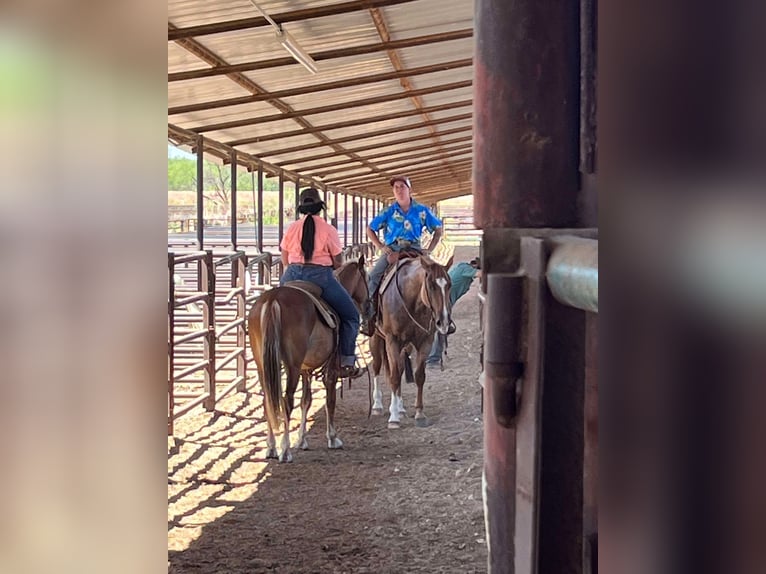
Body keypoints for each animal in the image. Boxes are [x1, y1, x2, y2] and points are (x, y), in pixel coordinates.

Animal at [250, 258, 370, 466]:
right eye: (367, 278)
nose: (370, 307)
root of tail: (273, 300)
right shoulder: (330, 370)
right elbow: (330, 401)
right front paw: (332, 438)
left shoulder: (305, 369)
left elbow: (306, 401)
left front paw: (302, 439)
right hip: (292, 366)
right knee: (286, 400)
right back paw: (285, 451)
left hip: (263, 365)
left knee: (268, 401)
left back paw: (271, 448)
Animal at [370, 258, 452, 430]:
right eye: (431, 286)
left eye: (449, 285)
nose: (443, 322)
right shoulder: (392, 340)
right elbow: (394, 376)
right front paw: (393, 418)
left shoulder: (425, 341)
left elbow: (419, 375)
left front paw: (419, 414)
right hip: (375, 338)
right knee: (377, 366)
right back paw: (378, 405)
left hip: (405, 346)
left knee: (401, 368)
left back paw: (400, 408)